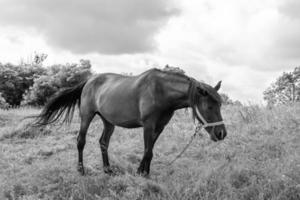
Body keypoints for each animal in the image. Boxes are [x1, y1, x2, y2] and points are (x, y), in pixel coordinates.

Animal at [34, 68, 226, 176]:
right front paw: (141, 173)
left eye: (220, 104)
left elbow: (150, 151)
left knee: (103, 142)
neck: (160, 91)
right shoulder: (148, 125)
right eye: (209, 106)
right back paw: (81, 170)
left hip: (108, 122)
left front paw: (144, 172)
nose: (221, 133)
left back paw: (108, 170)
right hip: (86, 116)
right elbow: (148, 151)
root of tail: (89, 81)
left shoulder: (159, 127)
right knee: (81, 141)